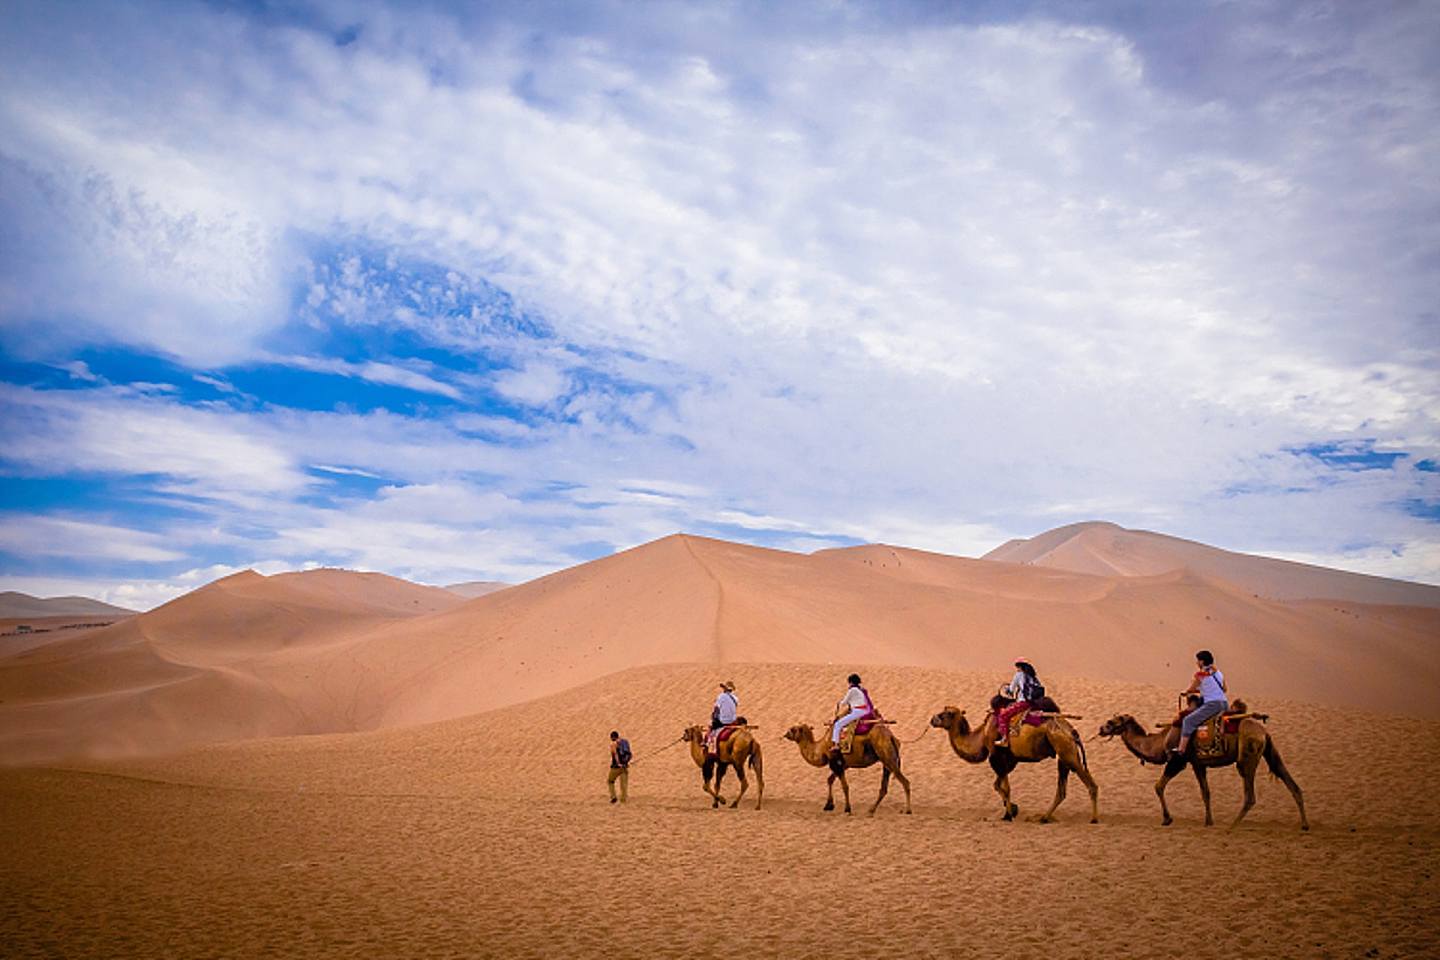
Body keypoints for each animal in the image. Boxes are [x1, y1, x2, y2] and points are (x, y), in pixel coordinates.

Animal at [927, 699, 1094, 829]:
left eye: (948, 713)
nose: (933, 719)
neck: (982, 736)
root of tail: (1072, 730)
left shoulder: (996, 756)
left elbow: (1005, 787)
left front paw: (1008, 815)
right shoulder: (1011, 760)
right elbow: (997, 785)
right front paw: (1013, 809)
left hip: (1066, 751)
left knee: (1090, 784)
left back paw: (1094, 818)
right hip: (1064, 755)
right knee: (1061, 791)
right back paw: (1044, 818)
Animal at [1094, 711, 1313, 829]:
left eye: (1113, 721)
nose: (1101, 728)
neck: (1159, 742)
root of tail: (1264, 732)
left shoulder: (1179, 760)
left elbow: (1158, 786)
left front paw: (1167, 818)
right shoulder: (1197, 763)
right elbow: (1205, 792)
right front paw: (1208, 821)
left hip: (1247, 755)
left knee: (1250, 793)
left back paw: (1233, 825)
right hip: (1269, 750)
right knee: (1291, 782)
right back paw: (1304, 825)